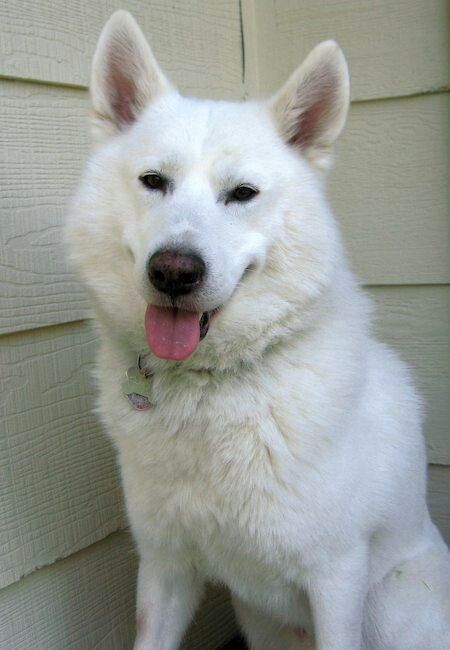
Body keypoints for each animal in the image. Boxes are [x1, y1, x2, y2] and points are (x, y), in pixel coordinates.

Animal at [67, 10, 450, 648]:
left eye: (242, 193)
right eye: (153, 181)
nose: (174, 271)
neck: (210, 387)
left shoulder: (338, 576)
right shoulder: (164, 567)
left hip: (389, 605)